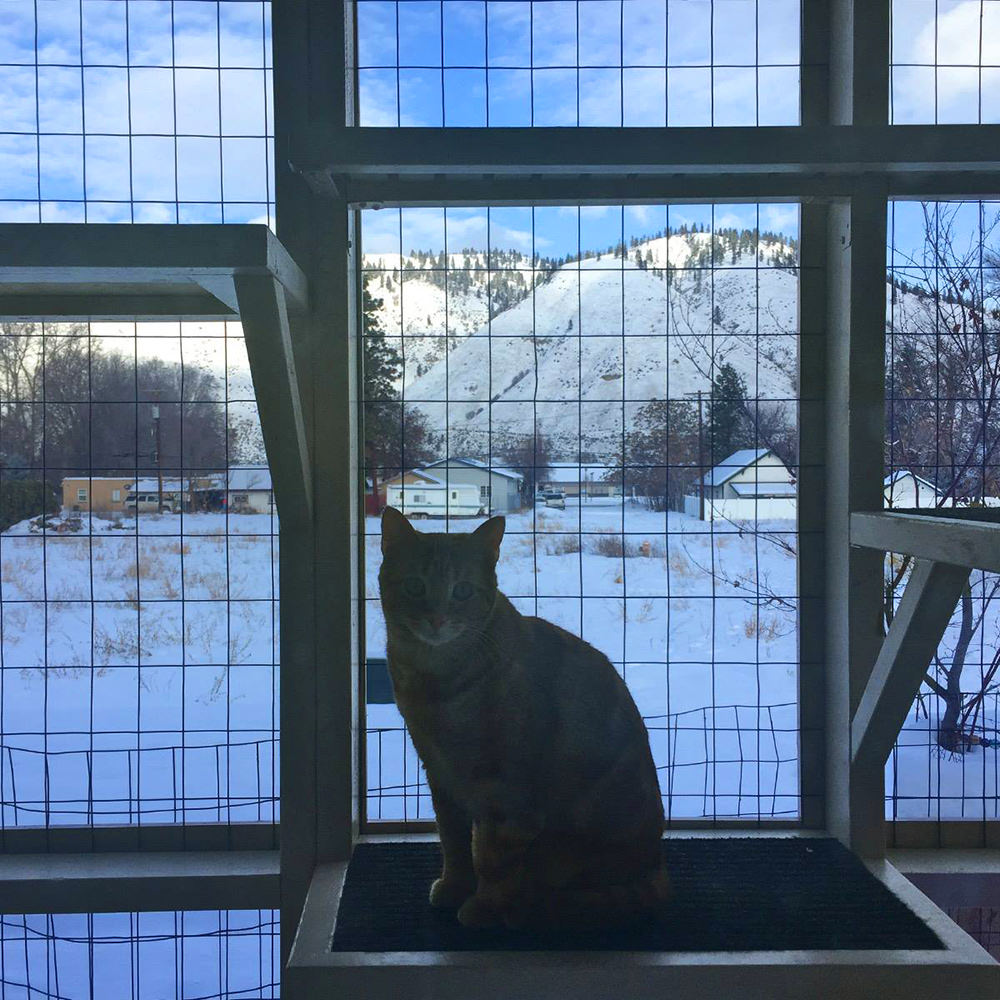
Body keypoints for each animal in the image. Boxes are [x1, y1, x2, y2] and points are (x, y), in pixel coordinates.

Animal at [378, 508, 668, 928]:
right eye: (414, 586)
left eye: (462, 591)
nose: (436, 619)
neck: (435, 682)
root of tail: (656, 866)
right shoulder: (439, 774)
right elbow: (453, 841)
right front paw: (454, 886)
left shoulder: (507, 789)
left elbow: (494, 857)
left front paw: (484, 906)